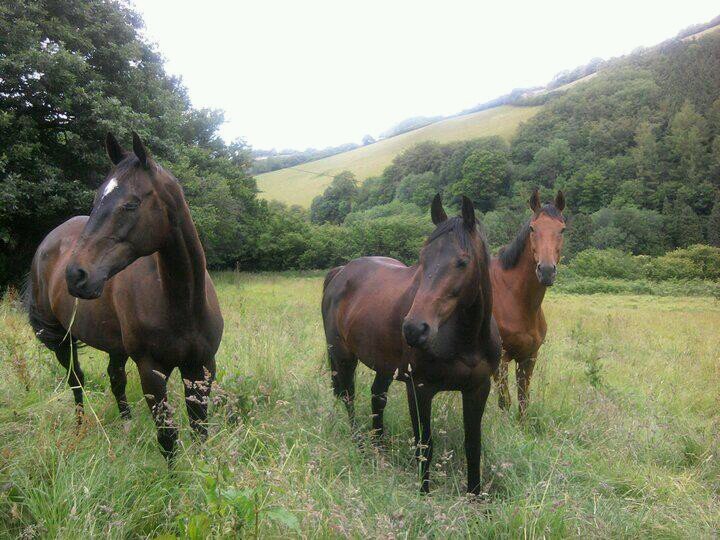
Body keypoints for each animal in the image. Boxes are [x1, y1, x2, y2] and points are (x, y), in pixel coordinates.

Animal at [26, 131, 222, 460]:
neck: (182, 302)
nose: (75, 275)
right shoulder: (152, 372)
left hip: (114, 345)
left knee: (115, 378)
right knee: (76, 381)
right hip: (63, 339)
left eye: (131, 205)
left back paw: (126, 428)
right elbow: (167, 438)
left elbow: (201, 432)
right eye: (96, 201)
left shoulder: (201, 367)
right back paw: (79, 430)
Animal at [322, 194, 500, 494]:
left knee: (376, 398)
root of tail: (340, 272)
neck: (465, 339)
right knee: (348, 397)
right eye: (422, 259)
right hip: (344, 358)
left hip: (383, 365)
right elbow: (424, 445)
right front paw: (424, 494)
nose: (415, 329)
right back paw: (359, 445)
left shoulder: (478, 389)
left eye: (462, 262)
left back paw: (379, 450)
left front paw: (475, 497)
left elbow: (472, 446)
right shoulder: (419, 389)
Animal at [492, 190, 564, 418]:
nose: (547, 271)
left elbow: (524, 402)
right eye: (533, 228)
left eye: (562, 229)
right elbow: (504, 402)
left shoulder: (529, 358)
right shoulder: (500, 360)